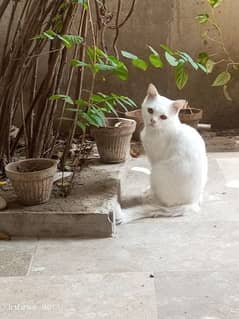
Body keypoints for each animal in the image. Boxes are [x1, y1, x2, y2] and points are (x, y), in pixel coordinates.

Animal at [117, 84, 207, 226]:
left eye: (163, 117)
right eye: (150, 110)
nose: (153, 121)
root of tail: (191, 204)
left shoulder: (155, 158)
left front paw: (150, 192)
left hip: (157, 170)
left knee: (162, 202)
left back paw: (150, 198)